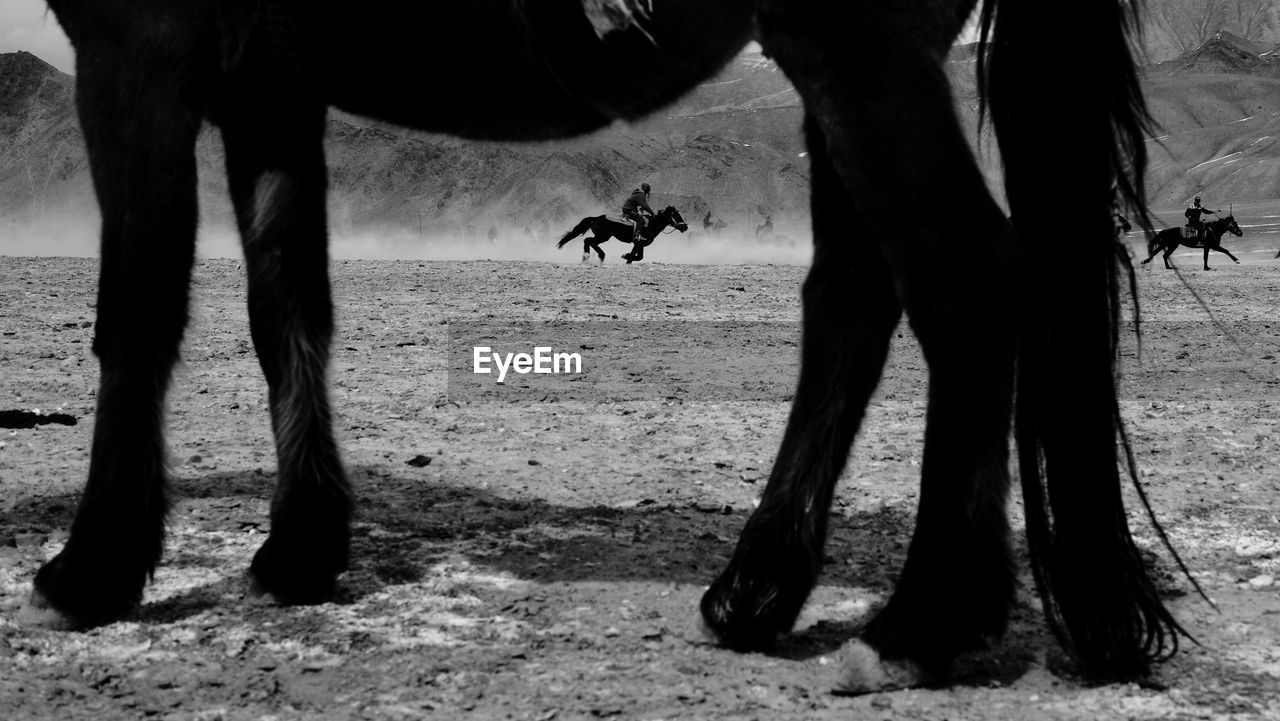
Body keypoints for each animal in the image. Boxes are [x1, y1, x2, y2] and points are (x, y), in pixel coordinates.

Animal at [552, 204, 691, 263]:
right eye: (676, 215)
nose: (685, 226)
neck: (652, 224)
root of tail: (596, 218)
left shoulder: (640, 244)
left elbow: (639, 257)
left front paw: (626, 255)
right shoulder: (638, 243)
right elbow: (634, 256)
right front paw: (626, 256)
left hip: (602, 236)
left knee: (588, 241)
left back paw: (587, 257)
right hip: (603, 236)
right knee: (589, 240)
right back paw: (596, 255)